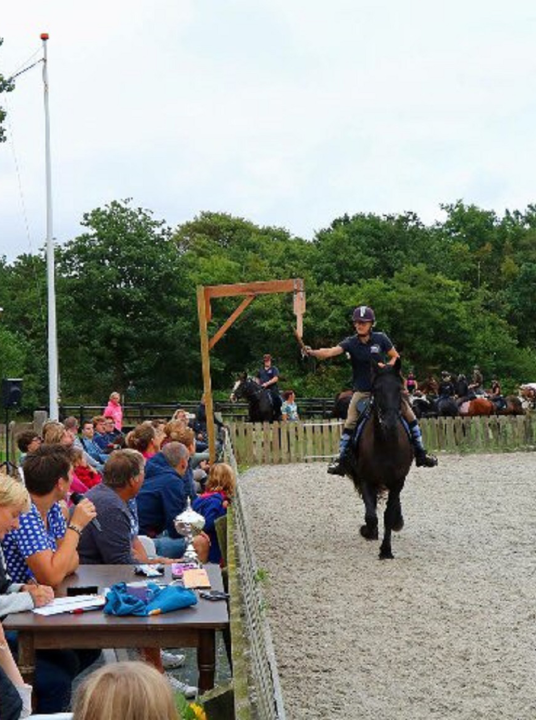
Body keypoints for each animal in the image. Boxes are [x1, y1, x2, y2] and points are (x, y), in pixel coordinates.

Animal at [346, 358, 416, 560]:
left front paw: (386, 550)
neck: (386, 444)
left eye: (399, 389)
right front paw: (369, 531)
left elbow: (388, 515)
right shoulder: (366, 479)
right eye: (376, 389)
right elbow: (371, 515)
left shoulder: (398, 480)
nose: (390, 423)